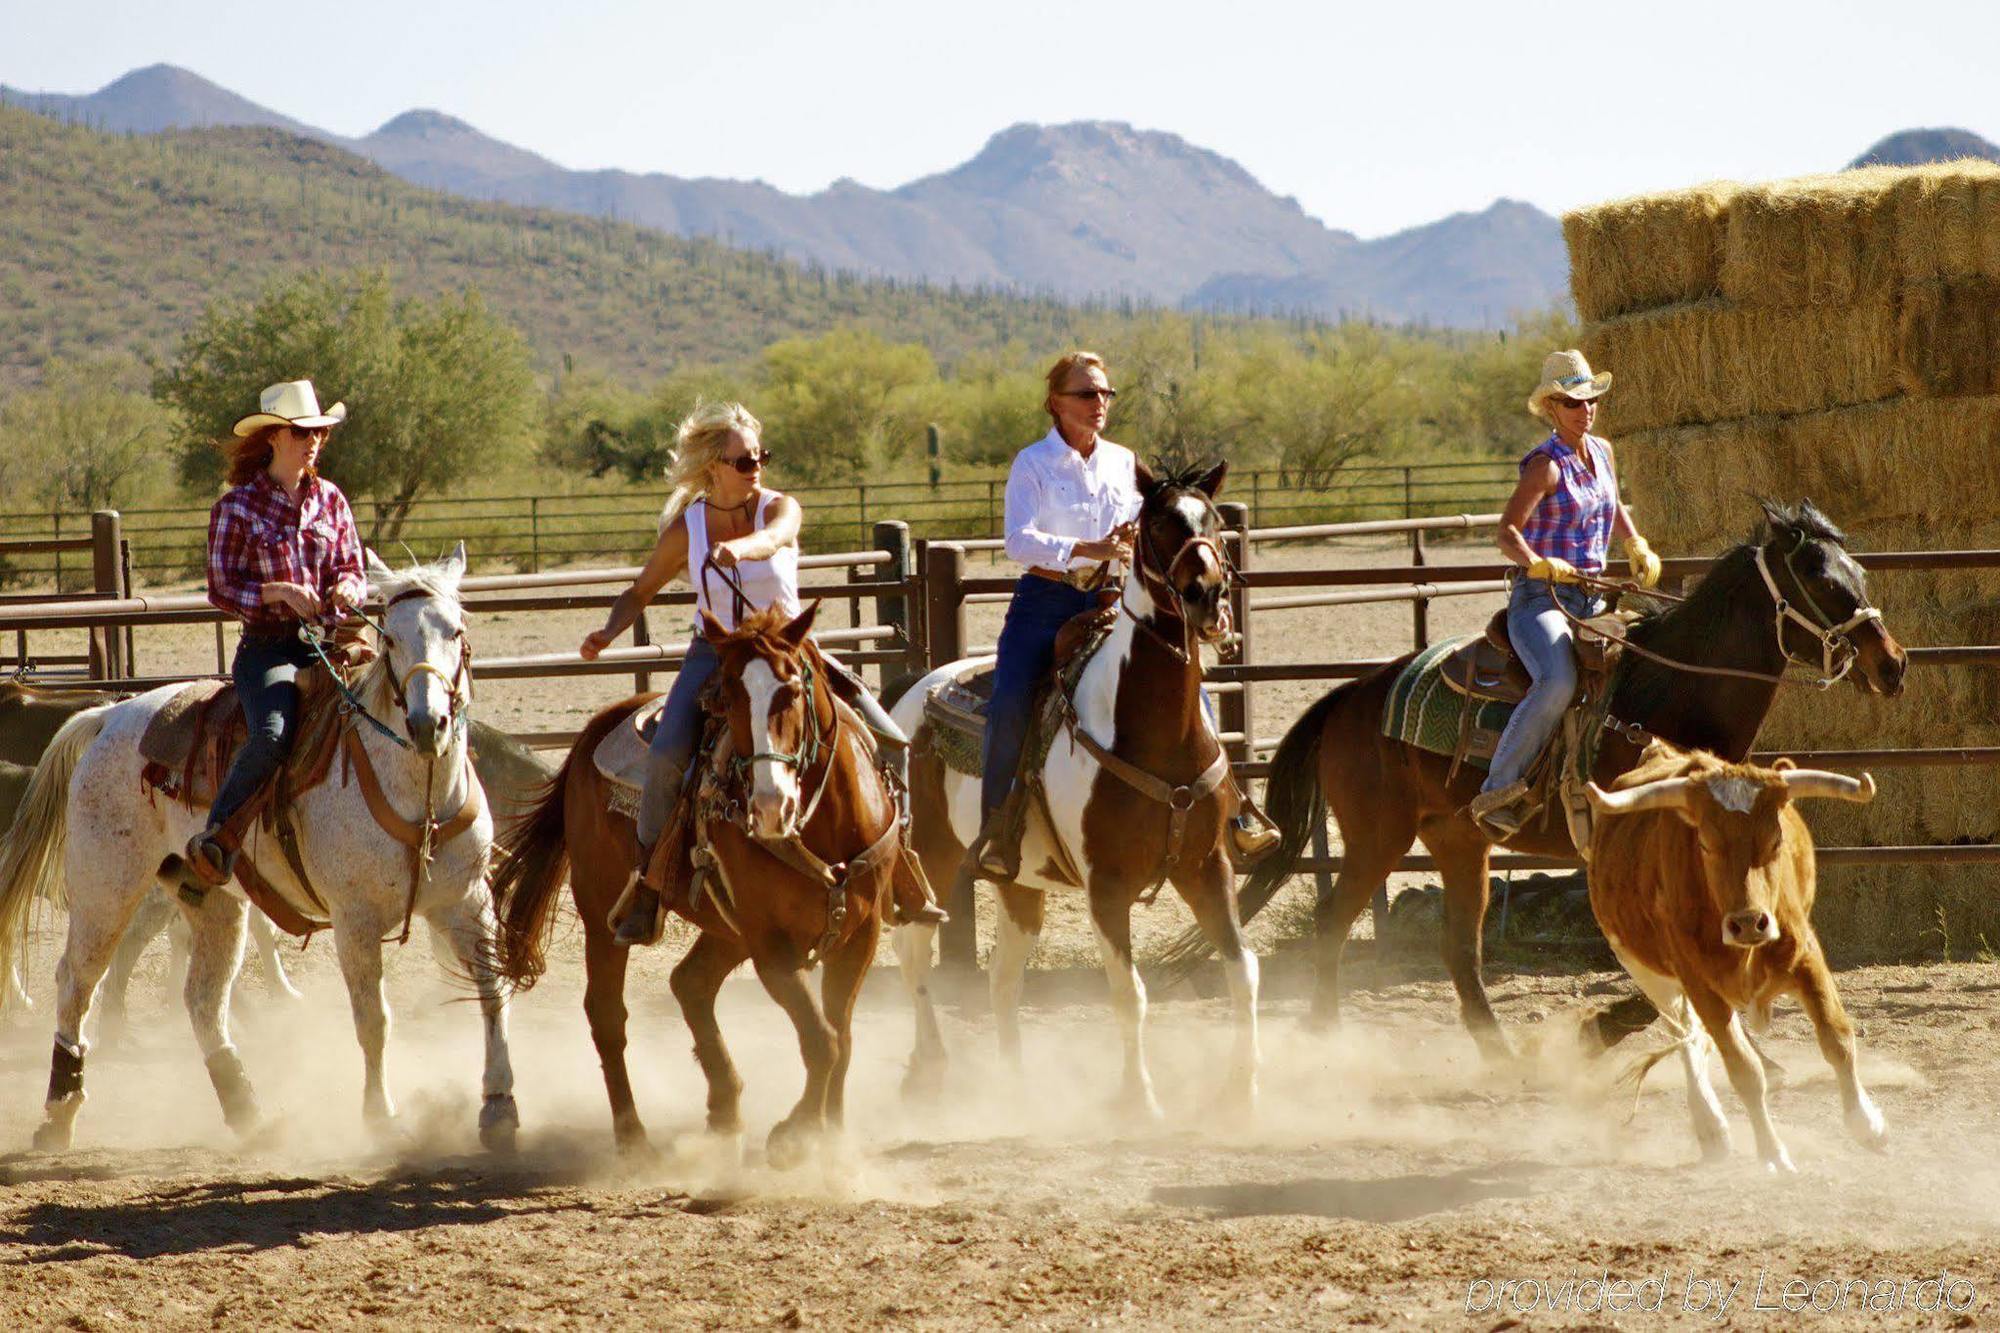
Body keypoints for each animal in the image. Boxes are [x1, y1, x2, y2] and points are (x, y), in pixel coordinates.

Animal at [496, 600, 904, 1160]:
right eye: (727, 697)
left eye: (791, 689)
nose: (769, 807)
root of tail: (594, 731)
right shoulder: (770, 942)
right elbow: (821, 1039)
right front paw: (794, 1133)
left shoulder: (860, 935)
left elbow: (839, 1037)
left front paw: (832, 1136)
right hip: (604, 914)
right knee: (607, 1014)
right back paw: (633, 1136)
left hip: (726, 927)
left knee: (690, 983)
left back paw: (725, 1109)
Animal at [888, 456, 1248, 1112]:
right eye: (1158, 524)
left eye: (1213, 520)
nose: (1208, 595)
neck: (1152, 731)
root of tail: (914, 688)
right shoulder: (1107, 884)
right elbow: (1128, 993)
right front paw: (1140, 1101)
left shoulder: (1207, 867)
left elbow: (1242, 971)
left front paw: (1243, 1091)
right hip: (929, 858)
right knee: (915, 961)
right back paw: (928, 1068)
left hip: (1016, 884)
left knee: (1003, 979)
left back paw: (1016, 1083)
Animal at [1168, 498, 1912, 1056]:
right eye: (1823, 581)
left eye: (1859, 572)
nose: (1894, 663)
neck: (1664, 695)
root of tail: (1352, 696)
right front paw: (1600, 1029)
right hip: (1379, 837)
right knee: (1333, 919)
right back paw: (1326, 1034)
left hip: (1458, 843)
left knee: (1459, 950)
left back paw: (1503, 1056)